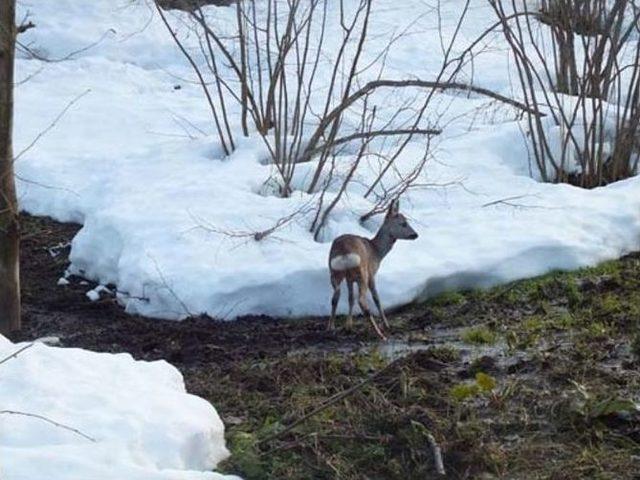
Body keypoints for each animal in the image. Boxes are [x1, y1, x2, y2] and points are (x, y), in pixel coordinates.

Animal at [328, 197, 418, 340]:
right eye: (403, 223)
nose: (415, 234)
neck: (376, 251)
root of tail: (344, 253)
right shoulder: (372, 273)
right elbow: (377, 298)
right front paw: (387, 324)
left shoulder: (349, 278)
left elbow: (350, 298)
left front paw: (348, 326)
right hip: (362, 274)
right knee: (362, 301)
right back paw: (380, 334)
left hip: (334, 272)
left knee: (335, 297)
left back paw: (331, 328)